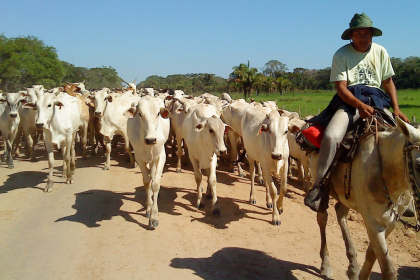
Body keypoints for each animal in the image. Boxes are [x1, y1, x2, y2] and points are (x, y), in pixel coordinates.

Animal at [124, 96, 171, 228]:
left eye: (158, 113)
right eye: (139, 114)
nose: (151, 140)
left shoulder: (161, 157)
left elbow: (155, 184)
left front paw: (154, 216)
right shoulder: (139, 158)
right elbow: (146, 183)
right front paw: (149, 209)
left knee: (153, 176)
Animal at [308, 116, 420, 280]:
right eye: (418, 164)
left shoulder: (391, 222)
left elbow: (371, 254)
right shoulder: (372, 221)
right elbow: (388, 270)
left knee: (340, 212)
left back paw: (353, 266)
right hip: (320, 183)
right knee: (322, 218)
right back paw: (326, 264)